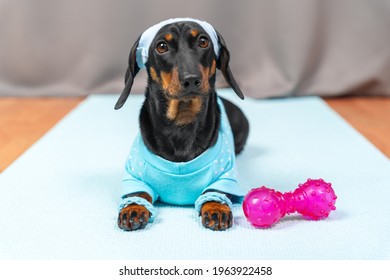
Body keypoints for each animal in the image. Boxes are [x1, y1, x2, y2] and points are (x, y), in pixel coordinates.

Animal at [116, 18, 250, 232]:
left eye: (203, 41)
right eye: (162, 46)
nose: (191, 79)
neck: (181, 124)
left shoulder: (225, 176)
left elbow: (214, 191)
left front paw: (216, 208)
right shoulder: (134, 175)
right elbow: (138, 193)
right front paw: (133, 208)